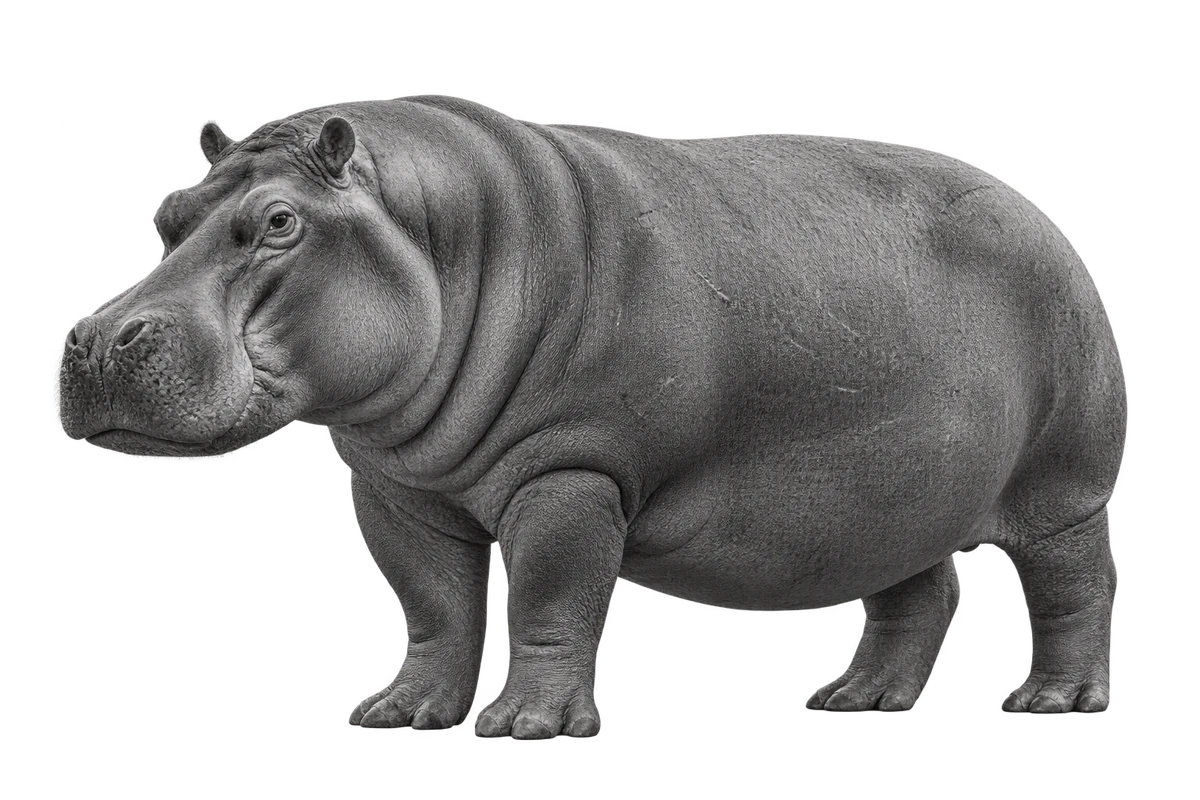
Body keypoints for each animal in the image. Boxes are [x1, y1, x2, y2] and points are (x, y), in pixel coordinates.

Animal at [52, 95, 1126, 736]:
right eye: (166, 212)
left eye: (280, 222)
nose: (96, 341)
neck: (443, 234)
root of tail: (1039, 214)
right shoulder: (397, 492)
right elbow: (433, 607)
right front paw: (401, 712)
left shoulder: (572, 475)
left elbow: (548, 598)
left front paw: (524, 725)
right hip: (890, 496)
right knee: (918, 592)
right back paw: (856, 701)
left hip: (1064, 483)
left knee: (1075, 585)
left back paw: (1053, 700)